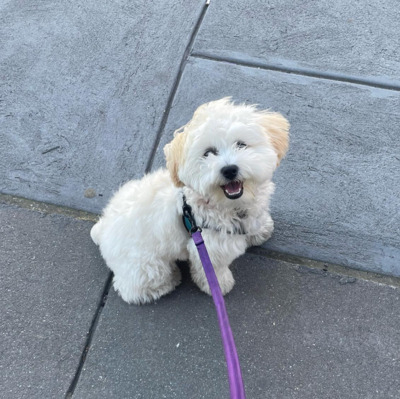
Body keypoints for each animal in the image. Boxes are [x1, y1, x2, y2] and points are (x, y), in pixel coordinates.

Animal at [90, 98, 290, 304]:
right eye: (208, 153)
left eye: (241, 144)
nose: (229, 169)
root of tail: (102, 231)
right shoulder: (207, 249)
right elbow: (212, 271)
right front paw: (219, 285)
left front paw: (261, 230)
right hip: (148, 267)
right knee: (133, 288)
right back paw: (167, 282)